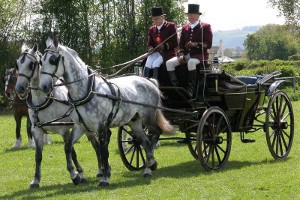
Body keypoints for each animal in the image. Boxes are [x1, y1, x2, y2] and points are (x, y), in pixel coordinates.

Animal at [38, 37, 173, 186]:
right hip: (134, 121)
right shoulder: (80, 126)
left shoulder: (101, 126)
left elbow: (103, 151)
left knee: (155, 134)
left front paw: (105, 177)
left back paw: (151, 164)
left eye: (53, 60)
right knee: (144, 141)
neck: (88, 90)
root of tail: (148, 80)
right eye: (41, 61)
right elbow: (68, 147)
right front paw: (75, 176)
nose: (44, 86)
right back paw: (148, 167)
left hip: (147, 117)